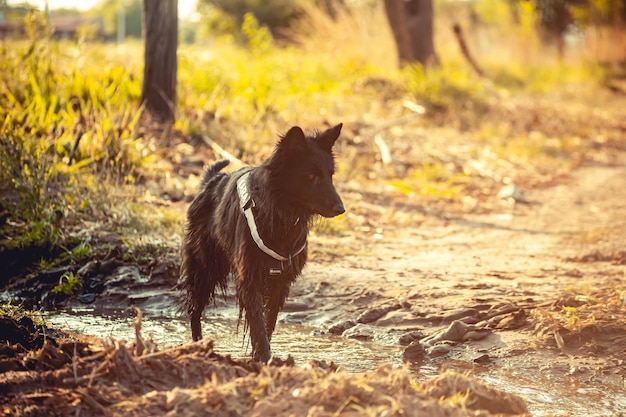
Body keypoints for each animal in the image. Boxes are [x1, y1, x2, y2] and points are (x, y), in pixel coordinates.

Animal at [178, 122, 344, 360]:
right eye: (312, 176)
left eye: (330, 175)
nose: (341, 208)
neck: (282, 213)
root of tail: (210, 182)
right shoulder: (250, 278)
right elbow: (257, 320)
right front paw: (264, 357)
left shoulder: (280, 282)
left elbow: (268, 320)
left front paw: (261, 353)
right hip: (204, 268)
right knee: (194, 310)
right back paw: (198, 345)